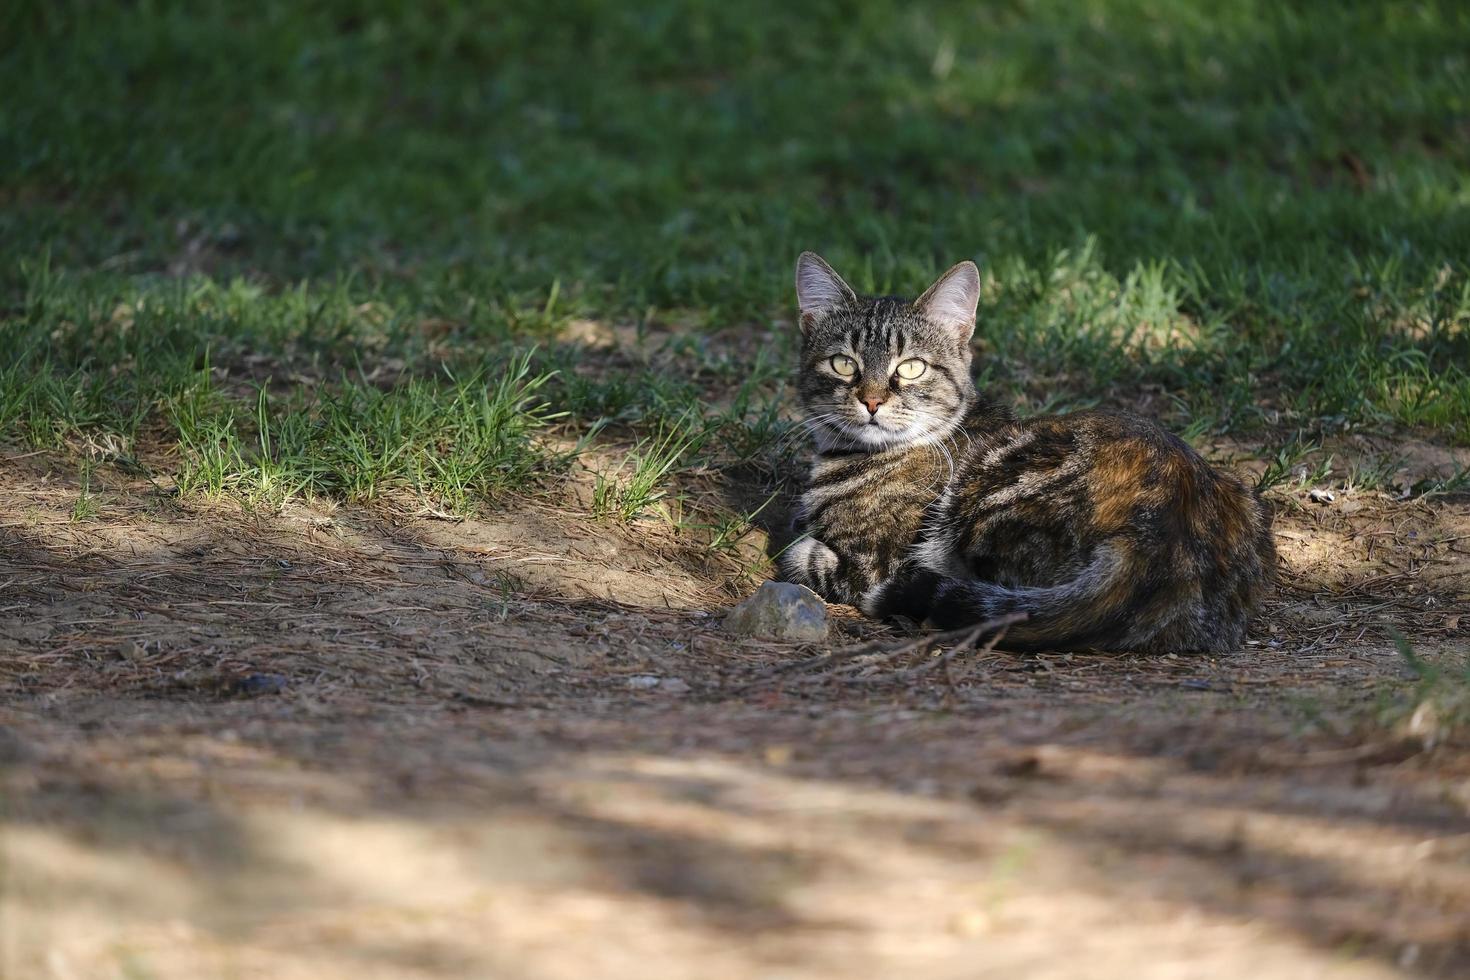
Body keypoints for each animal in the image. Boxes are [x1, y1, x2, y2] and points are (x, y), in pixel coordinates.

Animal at [782, 251, 1275, 652]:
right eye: (843, 363)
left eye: (912, 367)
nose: (871, 401)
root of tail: (1162, 532)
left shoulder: (875, 563)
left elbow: (803, 556)